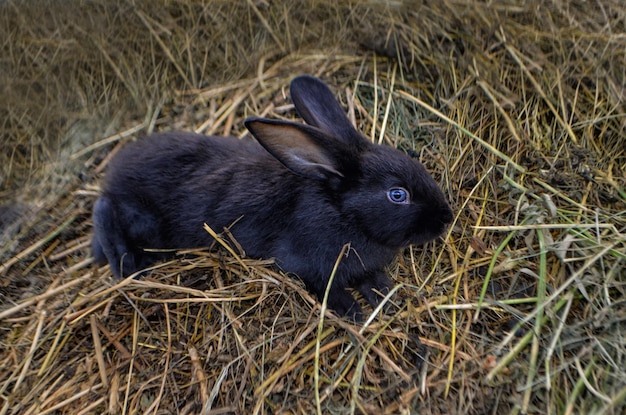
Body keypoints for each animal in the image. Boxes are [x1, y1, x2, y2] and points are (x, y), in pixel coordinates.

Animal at [91, 75, 448, 320]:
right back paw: (126, 265)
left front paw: (386, 296)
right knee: (104, 208)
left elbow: (372, 279)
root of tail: (117, 171)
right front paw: (355, 314)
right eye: (397, 194)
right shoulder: (310, 266)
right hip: (145, 222)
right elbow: (329, 290)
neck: (345, 213)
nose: (445, 218)